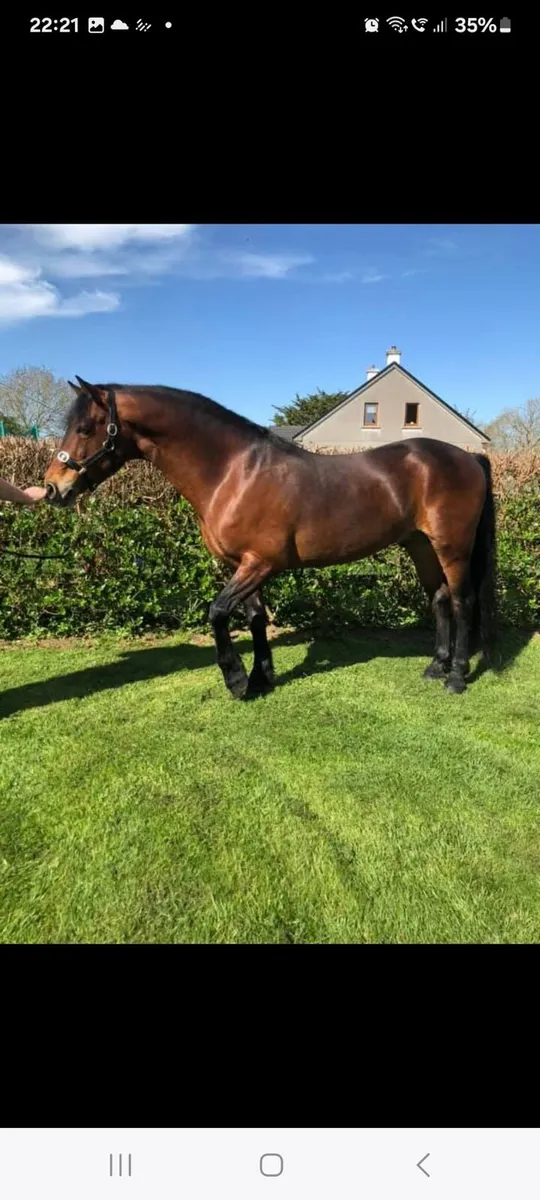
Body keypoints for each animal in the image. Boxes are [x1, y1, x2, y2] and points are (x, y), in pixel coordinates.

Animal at [44, 377, 497, 700]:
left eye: (84, 427)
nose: (52, 487)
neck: (234, 472)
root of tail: (468, 456)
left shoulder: (259, 563)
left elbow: (218, 612)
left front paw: (236, 680)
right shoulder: (243, 564)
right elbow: (255, 617)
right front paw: (262, 678)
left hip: (452, 547)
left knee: (462, 601)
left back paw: (456, 677)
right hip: (420, 546)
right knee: (439, 599)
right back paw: (435, 667)